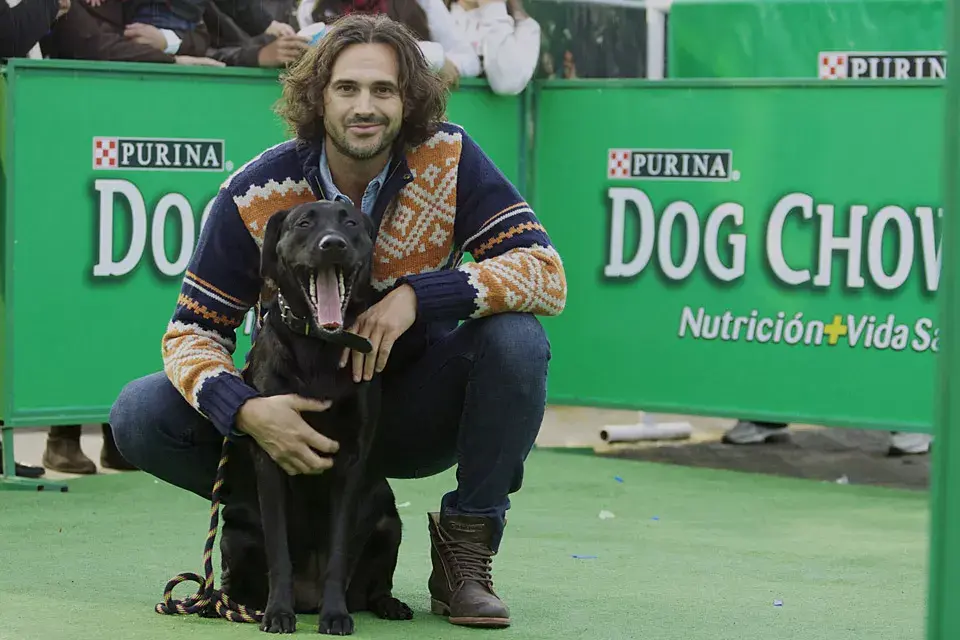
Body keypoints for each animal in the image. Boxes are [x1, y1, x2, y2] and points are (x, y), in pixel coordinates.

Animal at [223, 201, 414, 636]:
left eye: (351, 223)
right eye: (304, 223)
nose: (333, 244)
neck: (319, 347)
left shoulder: (351, 462)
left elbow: (338, 554)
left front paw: (336, 615)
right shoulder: (271, 455)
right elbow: (279, 549)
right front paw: (278, 613)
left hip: (389, 520)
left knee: (375, 585)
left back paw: (388, 605)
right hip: (234, 529)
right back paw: (227, 605)